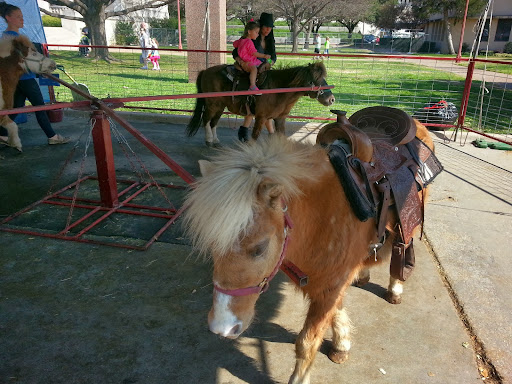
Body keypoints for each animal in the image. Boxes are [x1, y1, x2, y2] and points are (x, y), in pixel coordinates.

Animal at [184, 121, 436, 384]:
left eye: (260, 247)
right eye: (213, 245)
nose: (222, 327)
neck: (322, 215)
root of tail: (418, 124)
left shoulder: (331, 284)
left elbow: (307, 343)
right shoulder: (330, 282)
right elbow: (336, 311)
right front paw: (342, 344)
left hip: (408, 225)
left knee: (403, 249)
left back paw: (395, 288)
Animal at [187, 61, 336, 147]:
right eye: (316, 79)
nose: (331, 99)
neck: (278, 89)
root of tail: (205, 71)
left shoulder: (279, 118)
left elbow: (280, 135)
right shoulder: (261, 117)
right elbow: (255, 136)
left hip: (220, 106)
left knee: (214, 122)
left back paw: (215, 140)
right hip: (212, 104)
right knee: (206, 120)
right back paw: (209, 139)